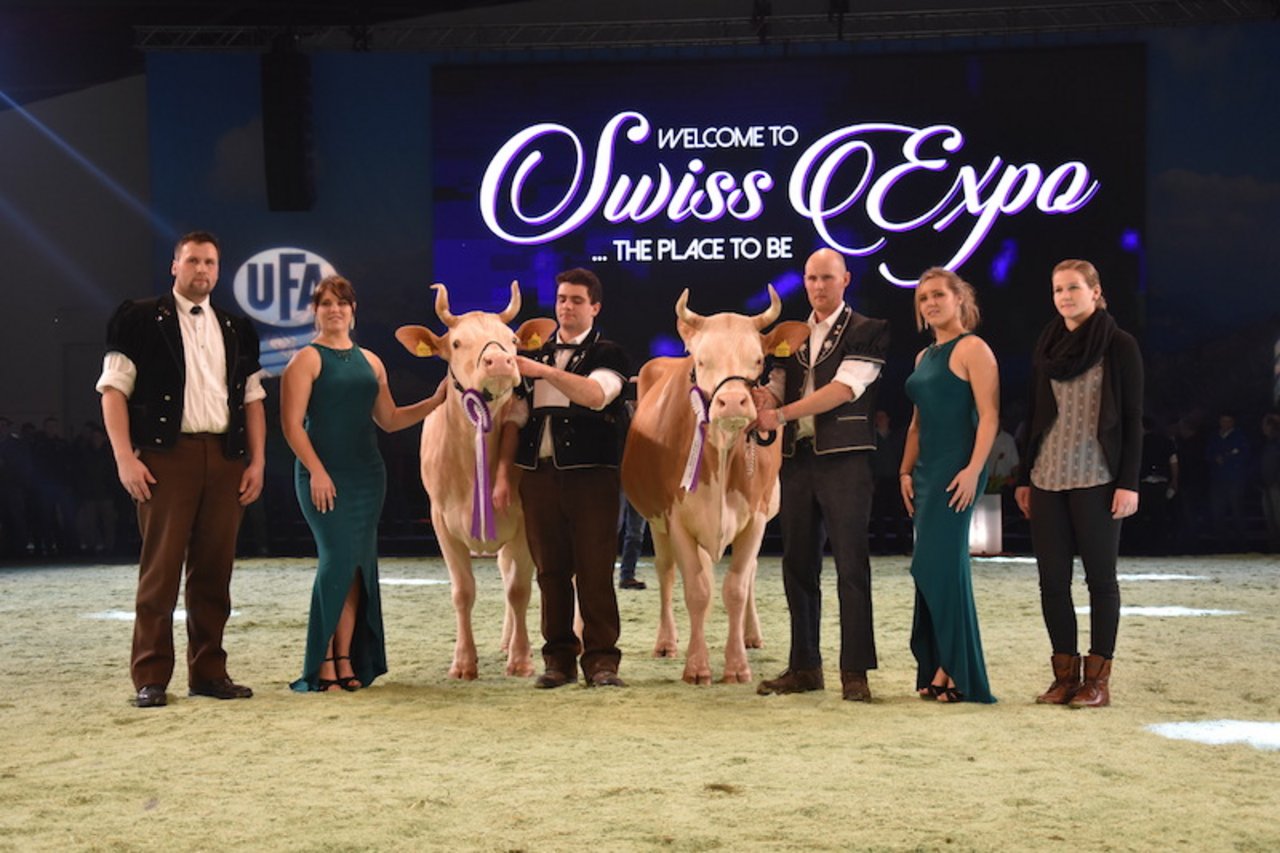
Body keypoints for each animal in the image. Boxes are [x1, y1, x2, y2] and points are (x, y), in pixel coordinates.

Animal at [394, 281, 555, 681]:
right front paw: (464, 662)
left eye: (512, 339)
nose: (499, 361)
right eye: (456, 342)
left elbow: (519, 590)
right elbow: (463, 591)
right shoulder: (440, 522)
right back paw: (505, 640)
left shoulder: (524, 520)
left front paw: (522, 660)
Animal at [622, 285, 808, 686]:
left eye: (759, 359)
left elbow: (735, 588)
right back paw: (667, 641)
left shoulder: (755, 517)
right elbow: (696, 589)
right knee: (668, 573)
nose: (733, 401)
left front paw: (736, 665)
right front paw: (696, 665)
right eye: (702, 361)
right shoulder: (676, 518)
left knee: (746, 576)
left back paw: (751, 634)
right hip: (656, 523)